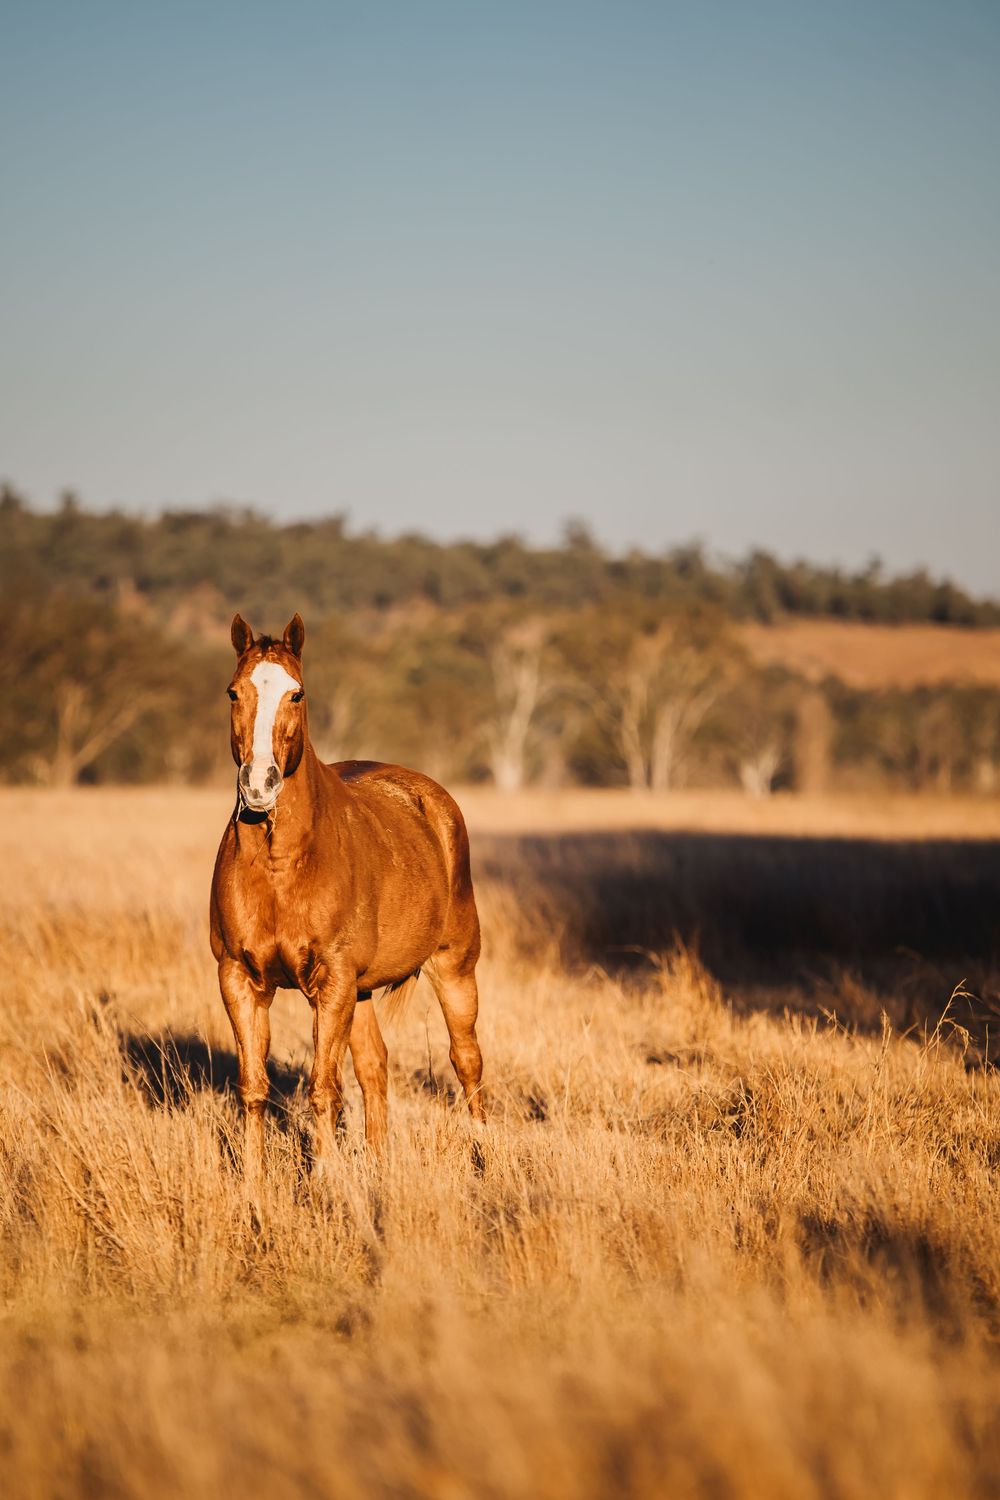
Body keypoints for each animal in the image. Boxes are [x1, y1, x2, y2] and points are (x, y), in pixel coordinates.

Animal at [209, 612, 485, 1187]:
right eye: (233, 691)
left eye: (297, 693)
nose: (260, 784)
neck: (282, 867)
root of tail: (429, 795)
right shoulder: (239, 978)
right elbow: (254, 1088)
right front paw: (253, 1188)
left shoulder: (331, 980)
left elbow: (323, 1090)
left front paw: (326, 1184)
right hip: (359, 994)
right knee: (375, 1067)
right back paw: (379, 1167)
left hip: (454, 969)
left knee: (467, 1061)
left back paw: (486, 1158)